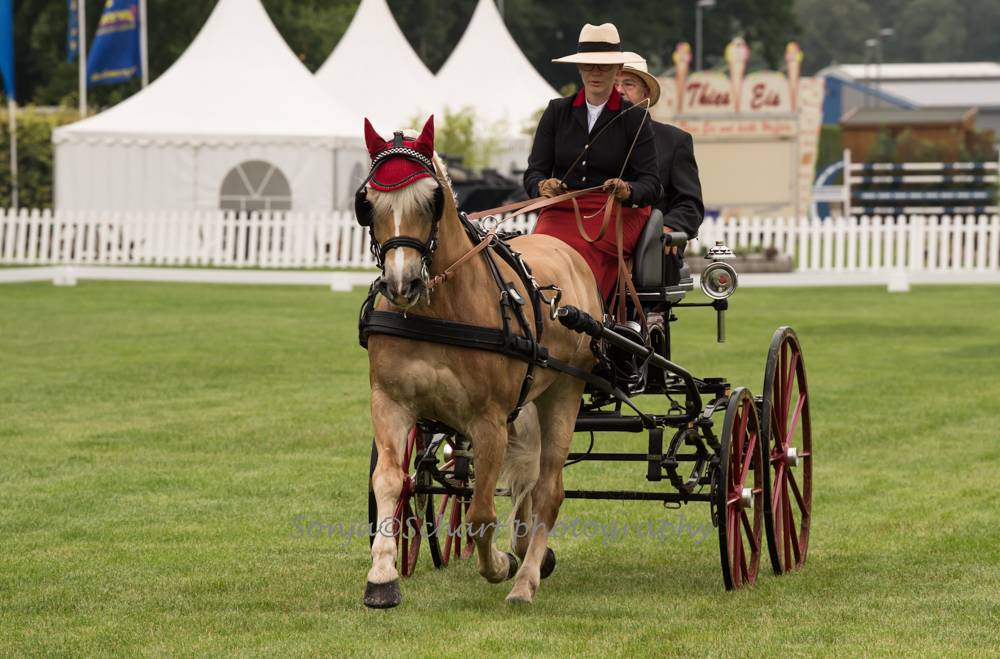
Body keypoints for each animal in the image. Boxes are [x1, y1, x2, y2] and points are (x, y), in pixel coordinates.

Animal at [364, 117, 604, 608]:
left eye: (432, 199)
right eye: (368, 202)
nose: (401, 284)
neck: (438, 313)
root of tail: (565, 249)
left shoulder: (489, 421)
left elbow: (480, 514)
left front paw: (499, 566)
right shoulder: (390, 403)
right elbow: (392, 482)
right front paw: (382, 576)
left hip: (564, 393)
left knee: (548, 489)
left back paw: (525, 578)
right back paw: (528, 550)